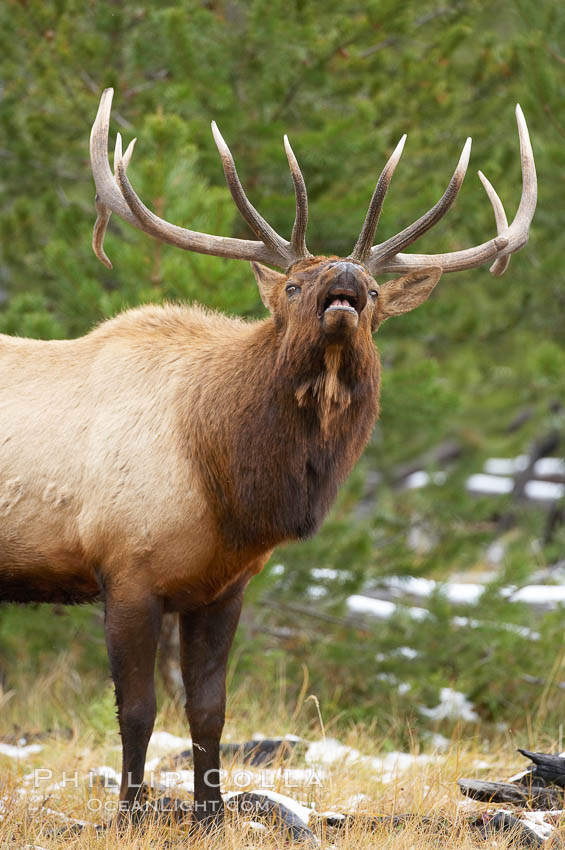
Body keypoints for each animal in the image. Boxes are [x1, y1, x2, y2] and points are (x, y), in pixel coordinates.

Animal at [0, 89, 536, 824]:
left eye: (374, 293)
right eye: (291, 285)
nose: (345, 275)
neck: (226, 480)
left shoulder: (223, 585)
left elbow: (208, 712)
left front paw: (210, 814)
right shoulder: (126, 568)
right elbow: (137, 712)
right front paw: (131, 813)